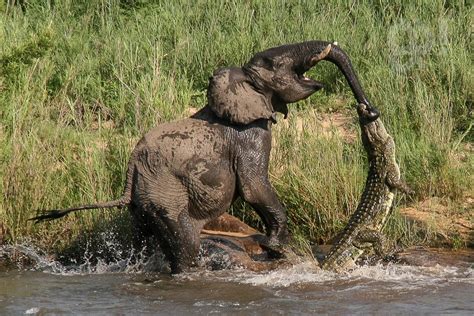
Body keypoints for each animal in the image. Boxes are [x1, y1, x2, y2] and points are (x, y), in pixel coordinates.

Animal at [31, 39, 380, 272]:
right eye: (271, 62)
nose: (369, 110)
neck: (240, 82)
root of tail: (131, 170)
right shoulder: (250, 135)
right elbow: (254, 186)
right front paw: (277, 248)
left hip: (143, 202)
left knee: (143, 239)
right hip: (165, 193)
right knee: (185, 243)